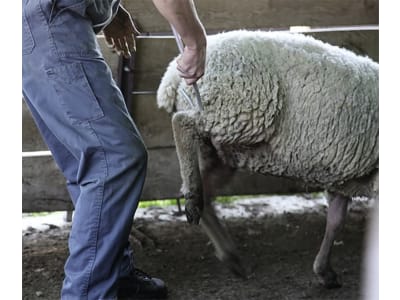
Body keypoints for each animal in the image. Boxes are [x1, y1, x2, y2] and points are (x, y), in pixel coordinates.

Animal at [156, 29, 378, 288]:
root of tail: (172, 75)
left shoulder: (346, 175)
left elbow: (335, 220)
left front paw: (324, 270)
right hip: (234, 110)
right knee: (182, 123)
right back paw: (192, 198)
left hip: (222, 144)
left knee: (207, 192)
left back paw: (229, 253)